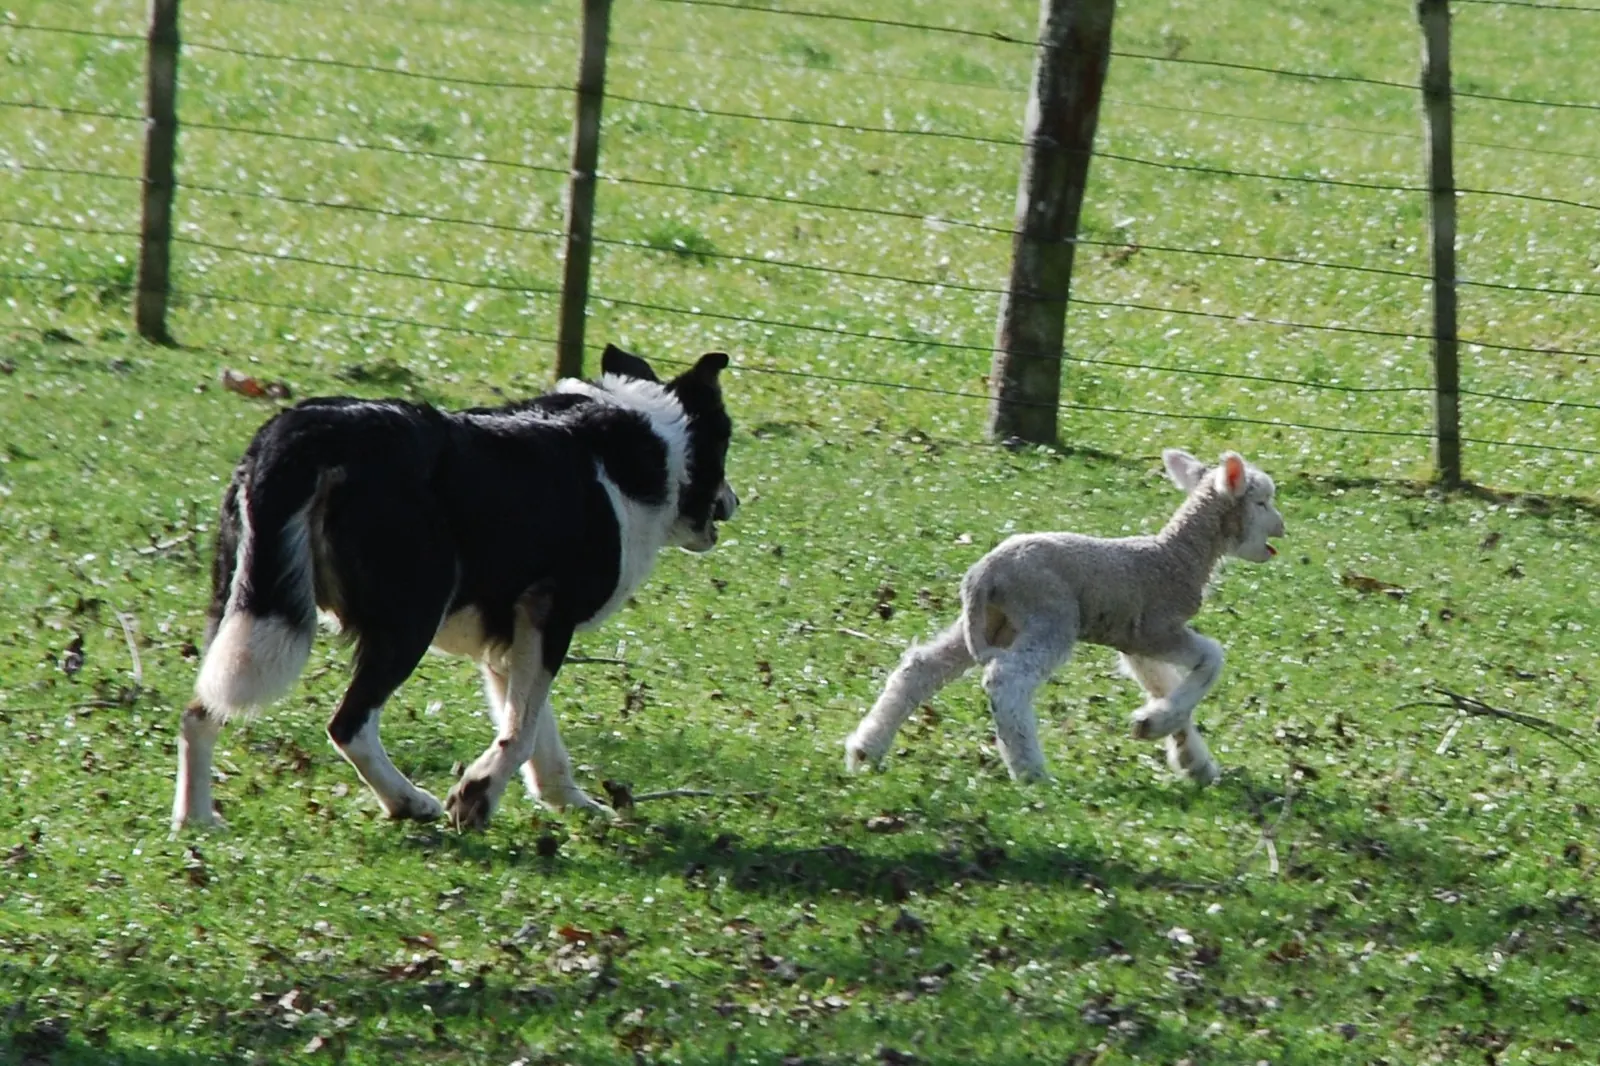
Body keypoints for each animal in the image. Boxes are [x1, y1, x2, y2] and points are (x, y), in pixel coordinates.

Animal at [843, 449, 1285, 787]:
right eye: (1262, 502)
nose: (1281, 529)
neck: (1177, 556)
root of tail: (982, 575)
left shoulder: (1132, 640)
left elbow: (1165, 686)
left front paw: (1185, 753)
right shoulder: (1155, 629)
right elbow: (1211, 659)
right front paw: (1158, 726)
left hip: (993, 623)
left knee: (920, 667)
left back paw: (866, 749)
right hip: (1050, 617)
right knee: (1006, 681)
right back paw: (1031, 772)